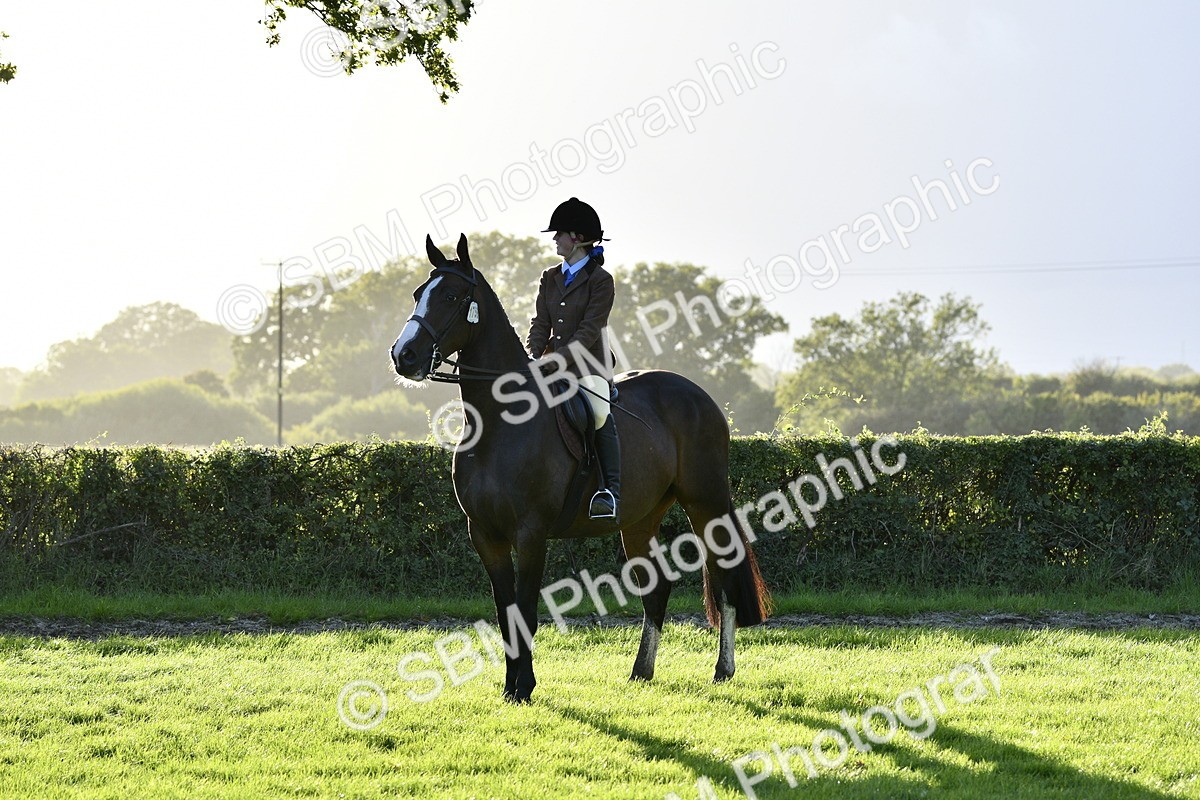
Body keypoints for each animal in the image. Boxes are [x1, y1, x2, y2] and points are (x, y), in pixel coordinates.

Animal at [390, 234, 770, 703]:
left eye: (450, 296)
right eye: (417, 294)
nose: (403, 356)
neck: (499, 422)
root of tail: (700, 395)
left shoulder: (531, 533)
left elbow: (525, 612)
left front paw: (523, 687)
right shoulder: (485, 535)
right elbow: (504, 614)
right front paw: (510, 687)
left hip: (706, 502)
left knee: (724, 578)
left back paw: (723, 668)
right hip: (640, 518)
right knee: (657, 588)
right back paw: (641, 670)